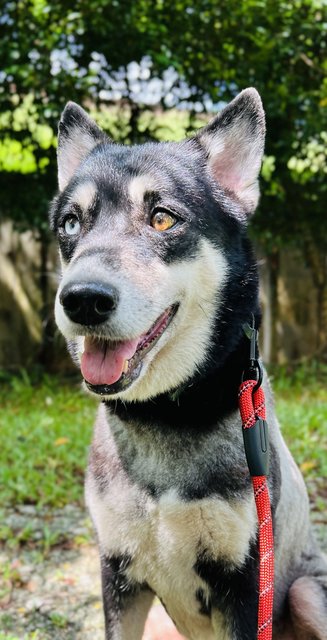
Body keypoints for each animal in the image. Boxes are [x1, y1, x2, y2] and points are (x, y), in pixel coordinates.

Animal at [50, 90, 327, 640]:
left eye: (162, 218)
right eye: (71, 223)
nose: (82, 299)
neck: (165, 413)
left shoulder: (245, 586)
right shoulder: (118, 573)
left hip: (308, 592)